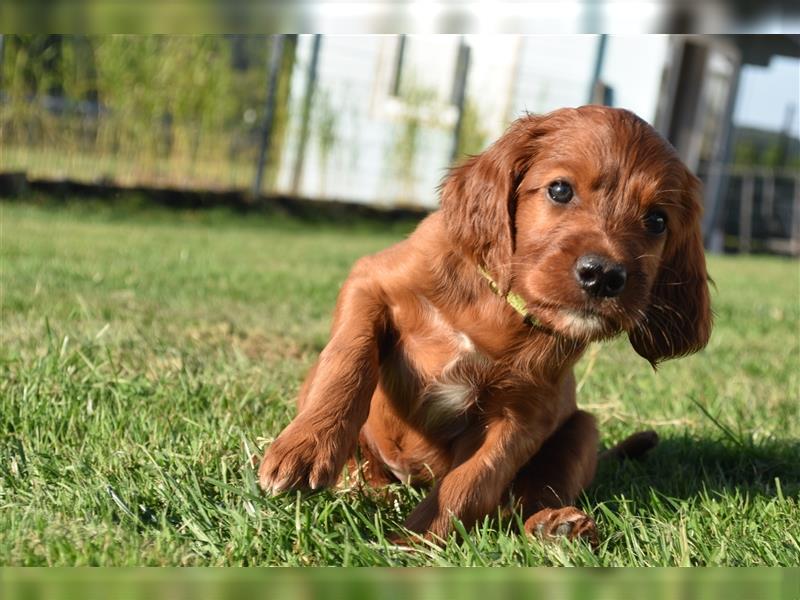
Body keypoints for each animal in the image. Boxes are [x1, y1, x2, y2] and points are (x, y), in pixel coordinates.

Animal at [258, 106, 712, 544]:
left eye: (657, 221)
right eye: (560, 190)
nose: (602, 276)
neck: (497, 306)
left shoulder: (524, 415)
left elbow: (472, 482)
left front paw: (411, 544)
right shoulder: (371, 281)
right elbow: (349, 359)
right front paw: (308, 446)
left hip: (582, 428)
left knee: (533, 493)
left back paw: (556, 526)